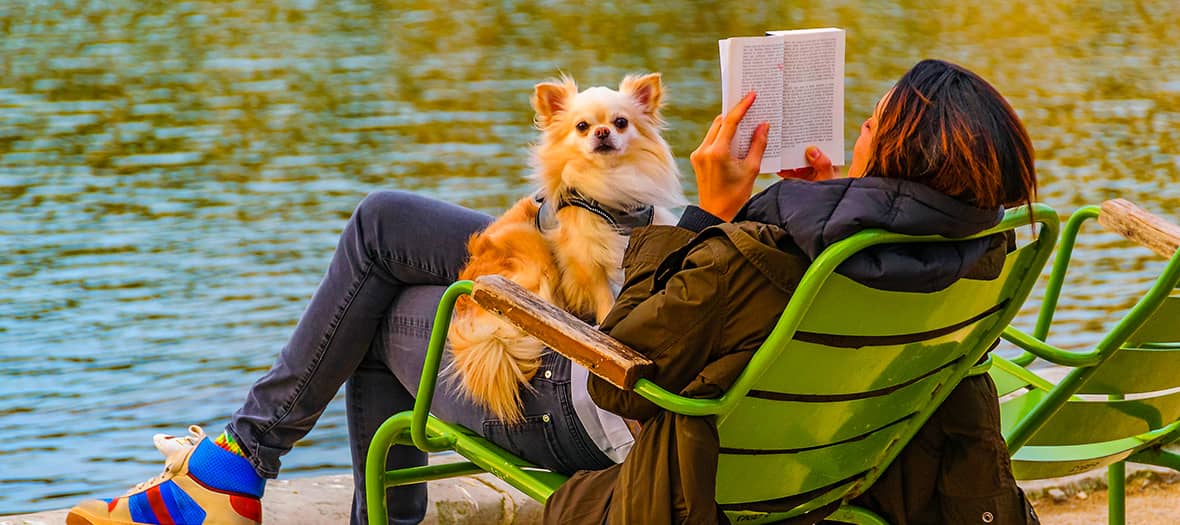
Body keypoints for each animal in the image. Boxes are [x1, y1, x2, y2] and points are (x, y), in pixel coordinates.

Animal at [448, 72, 689, 422]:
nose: (602, 132)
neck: (609, 189)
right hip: (533, 247)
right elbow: (605, 301)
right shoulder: (587, 263)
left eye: (621, 123)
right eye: (582, 127)